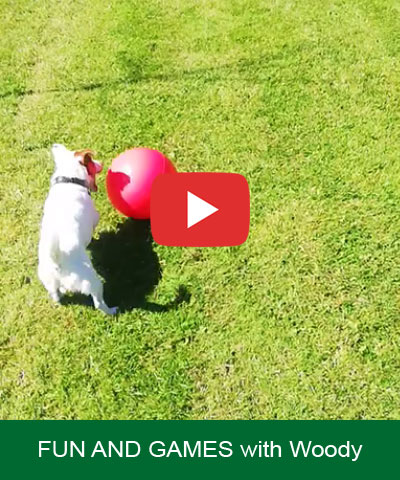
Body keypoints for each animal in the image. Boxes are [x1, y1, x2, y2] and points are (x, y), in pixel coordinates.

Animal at [37, 142, 117, 316]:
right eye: (92, 161)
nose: (101, 163)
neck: (68, 180)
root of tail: (57, 263)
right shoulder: (94, 217)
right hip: (93, 282)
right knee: (99, 304)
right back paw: (112, 310)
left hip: (49, 282)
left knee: (56, 295)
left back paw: (60, 295)